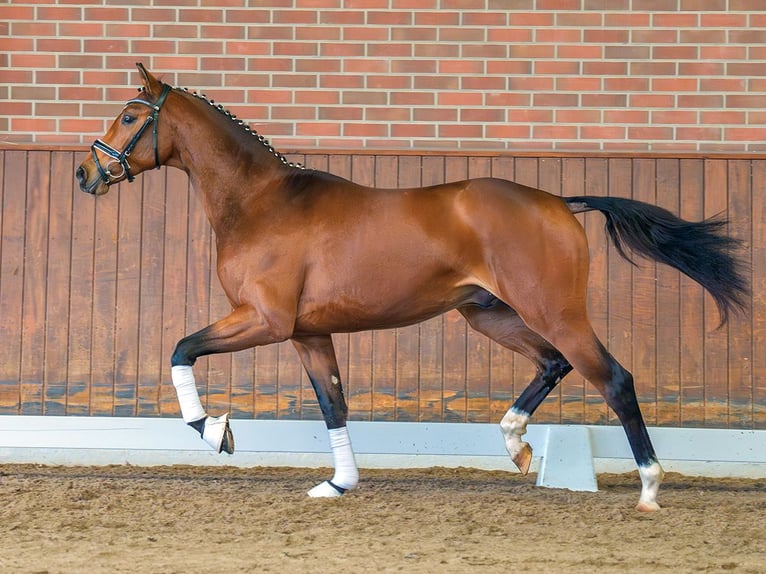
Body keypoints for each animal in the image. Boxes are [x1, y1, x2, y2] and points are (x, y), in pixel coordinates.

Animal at [75, 65, 748, 516]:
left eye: (131, 116)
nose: (86, 173)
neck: (262, 203)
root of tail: (559, 201)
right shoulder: (308, 333)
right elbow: (334, 405)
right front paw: (338, 484)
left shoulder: (264, 320)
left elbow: (181, 349)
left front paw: (216, 433)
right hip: (489, 315)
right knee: (553, 364)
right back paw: (516, 444)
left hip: (554, 311)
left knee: (614, 379)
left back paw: (650, 487)